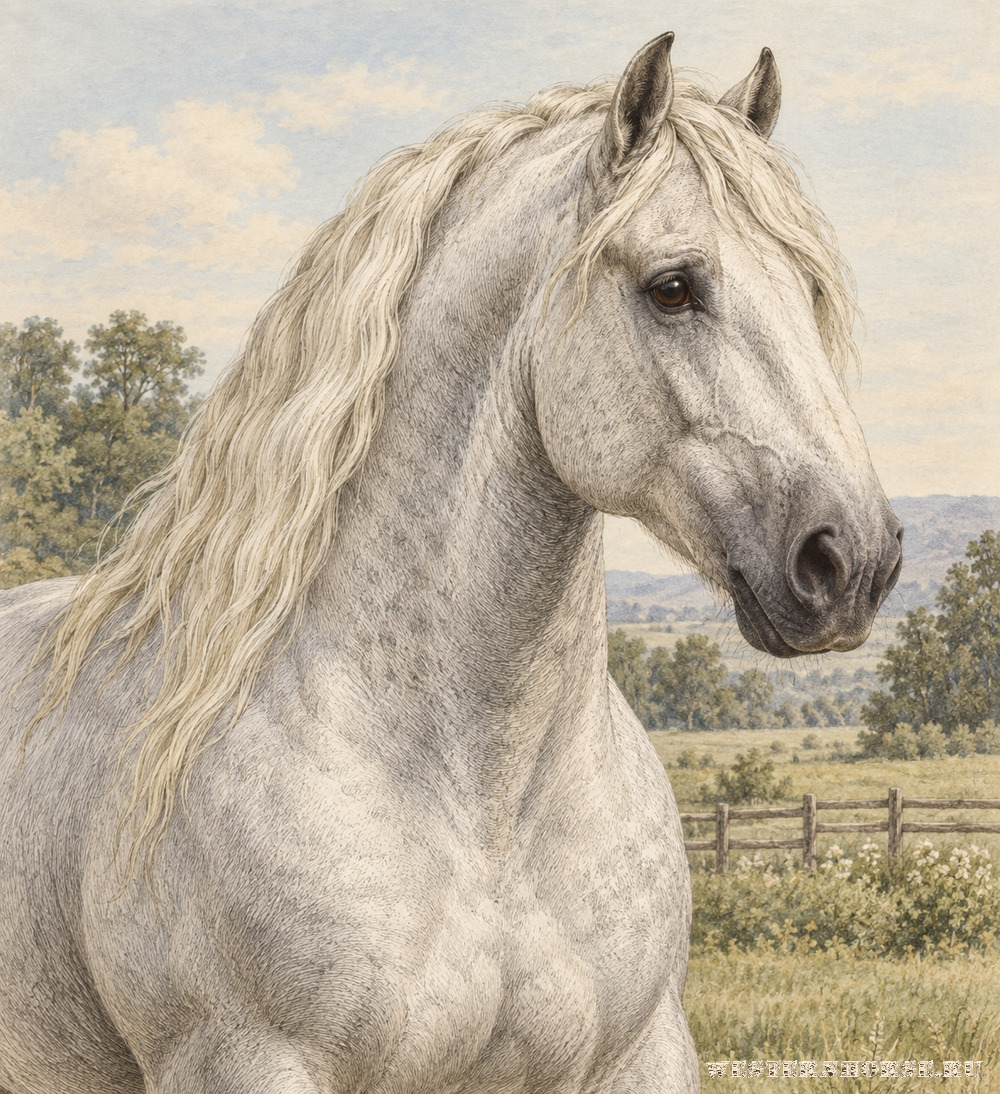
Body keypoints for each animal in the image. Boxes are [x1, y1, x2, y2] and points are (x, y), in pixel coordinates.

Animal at [0, 33, 901, 1094]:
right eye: (672, 286)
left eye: (808, 289)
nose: (851, 560)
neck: (483, 805)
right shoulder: (242, 1057)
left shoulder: (643, 1051)